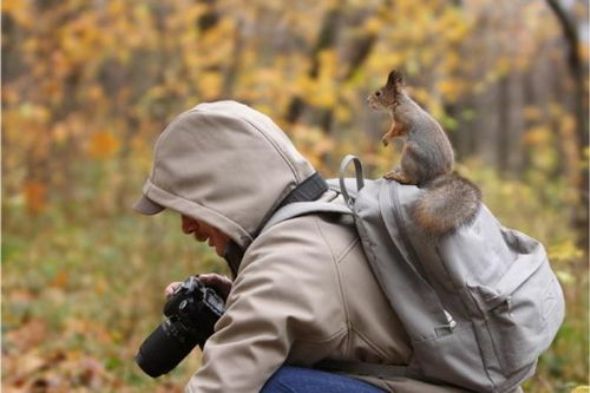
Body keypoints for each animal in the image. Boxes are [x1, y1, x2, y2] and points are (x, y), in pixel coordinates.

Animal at [368, 69, 484, 236]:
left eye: (378, 93)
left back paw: (397, 176)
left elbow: (395, 131)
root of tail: (434, 178)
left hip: (410, 154)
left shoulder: (402, 122)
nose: (367, 100)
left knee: (412, 180)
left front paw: (386, 138)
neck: (399, 103)